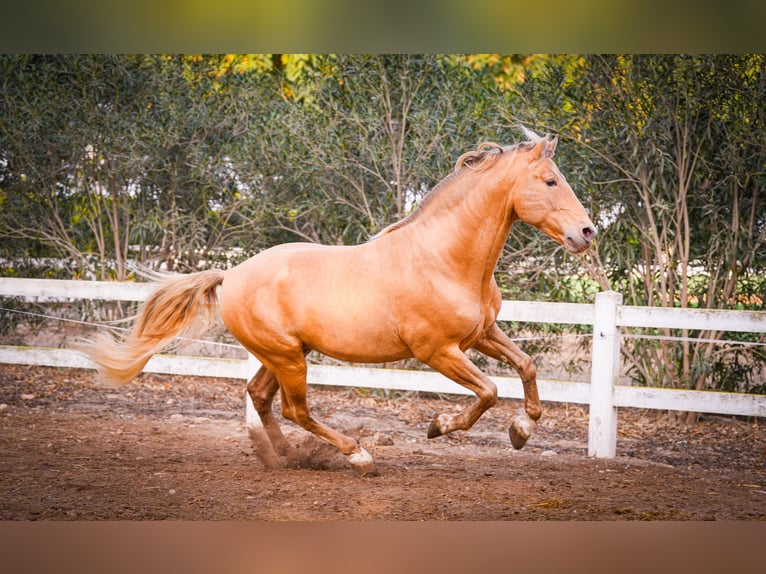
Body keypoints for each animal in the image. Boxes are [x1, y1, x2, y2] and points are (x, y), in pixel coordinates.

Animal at [82, 128, 600, 474]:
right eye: (550, 181)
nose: (587, 233)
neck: (444, 259)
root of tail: (232, 273)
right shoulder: (438, 352)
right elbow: (489, 391)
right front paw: (439, 425)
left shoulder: (482, 334)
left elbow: (527, 366)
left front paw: (522, 431)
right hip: (288, 358)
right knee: (295, 410)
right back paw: (357, 455)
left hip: (283, 354)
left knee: (260, 396)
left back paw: (287, 457)